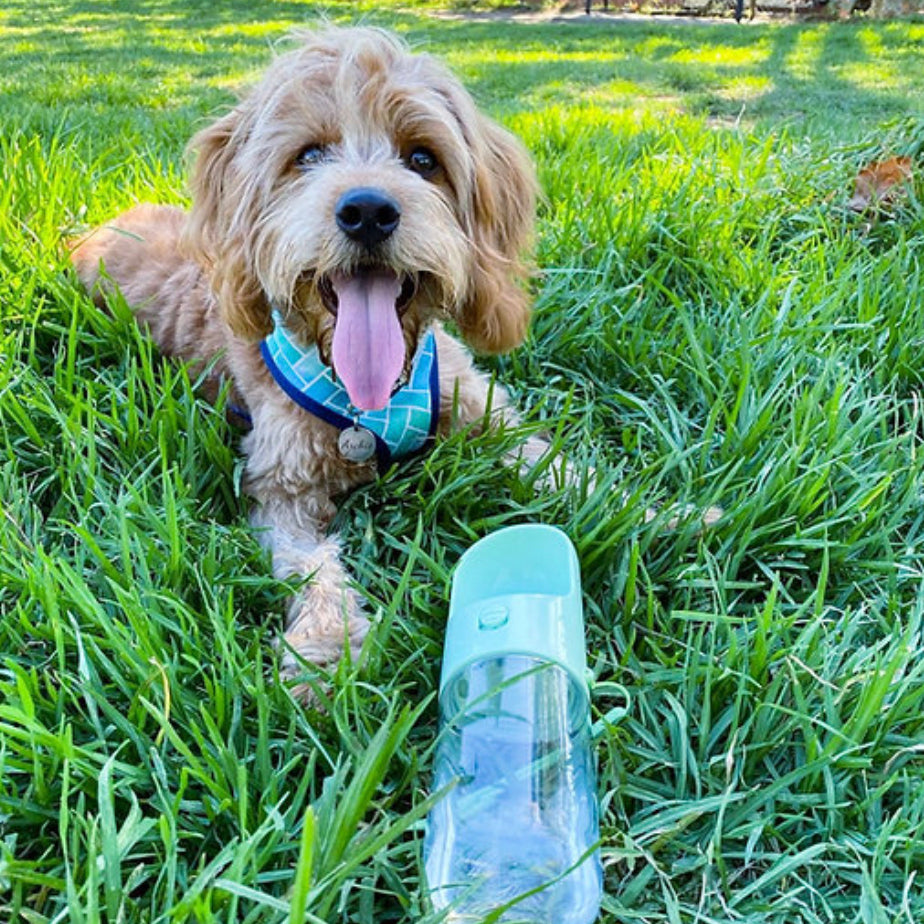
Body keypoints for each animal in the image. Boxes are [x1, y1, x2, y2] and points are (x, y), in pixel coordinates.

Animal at [70, 25, 556, 684]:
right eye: (307, 156)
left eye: (423, 158)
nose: (368, 211)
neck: (373, 400)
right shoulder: (279, 485)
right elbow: (312, 565)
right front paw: (329, 647)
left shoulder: (482, 407)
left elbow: (553, 465)